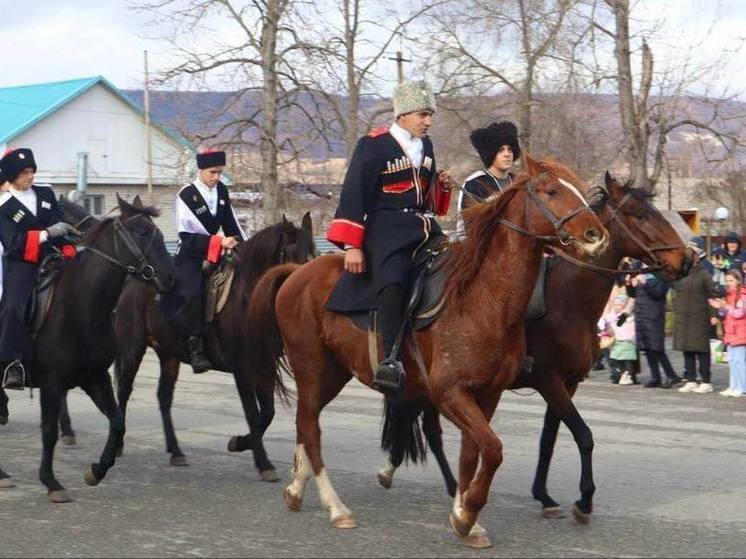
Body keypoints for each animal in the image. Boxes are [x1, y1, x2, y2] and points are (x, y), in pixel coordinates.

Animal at [31, 197, 175, 504]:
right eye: (142, 232)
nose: (171, 277)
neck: (78, 306)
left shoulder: (95, 376)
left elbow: (118, 421)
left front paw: (97, 470)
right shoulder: (51, 381)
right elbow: (48, 431)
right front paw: (51, 481)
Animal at [247, 155, 608, 548]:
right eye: (551, 190)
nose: (596, 236)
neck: (484, 299)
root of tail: (296, 272)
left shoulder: (488, 395)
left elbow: (472, 454)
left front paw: (466, 516)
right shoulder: (450, 392)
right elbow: (492, 450)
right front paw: (467, 512)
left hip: (332, 374)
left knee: (305, 423)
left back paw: (296, 489)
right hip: (312, 369)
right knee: (310, 430)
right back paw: (336, 507)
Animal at [374, 172, 688, 524]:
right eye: (641, 214)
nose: (687, 259)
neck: (567, 300)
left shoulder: (568, 383)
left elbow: (549, 439)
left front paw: (545, 495)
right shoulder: (548, 379)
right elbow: (583, 435)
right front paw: (584, 500)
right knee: (426, 424)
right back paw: (444, 485)